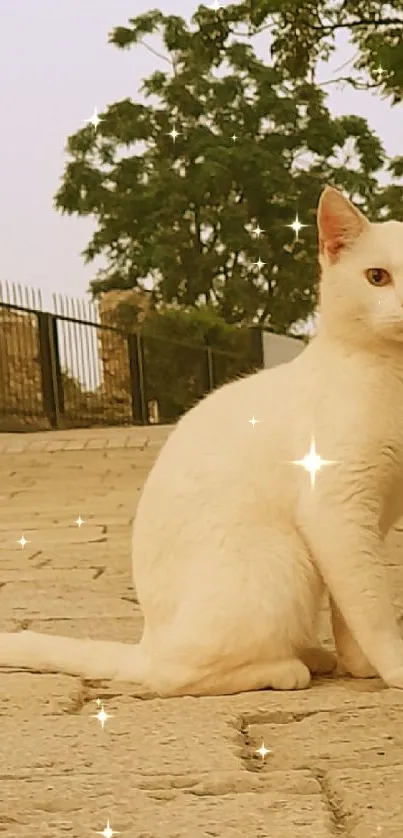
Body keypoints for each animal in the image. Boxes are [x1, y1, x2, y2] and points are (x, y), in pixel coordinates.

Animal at [1, 185, 403, 696]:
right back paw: (286, 667)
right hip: (280, 559)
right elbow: (371, 606)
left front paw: (359, 665)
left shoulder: (371, 524)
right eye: (377, 277)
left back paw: (313, 654)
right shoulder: (338, 515)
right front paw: (394, 667)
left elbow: (348, 612)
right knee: (174, 674)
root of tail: (147, 640)